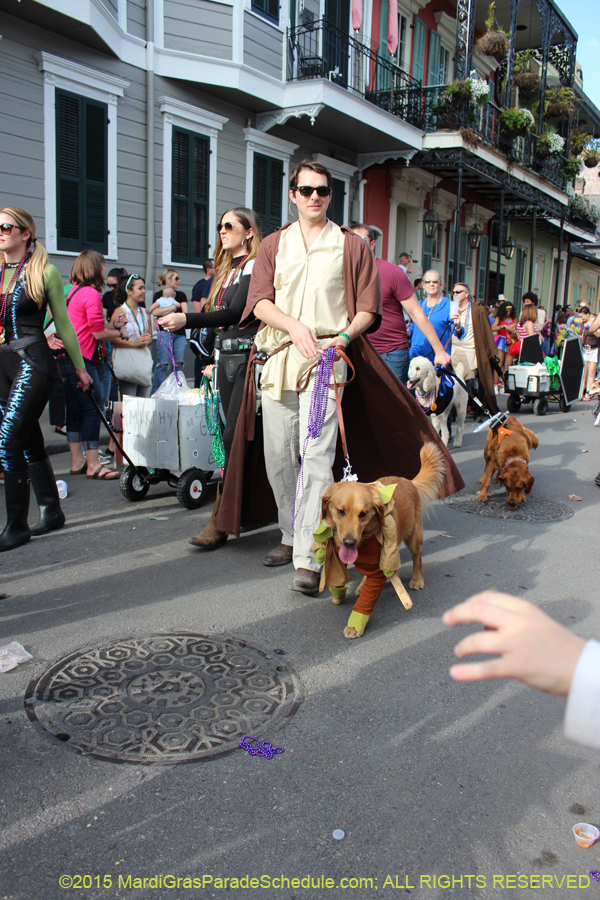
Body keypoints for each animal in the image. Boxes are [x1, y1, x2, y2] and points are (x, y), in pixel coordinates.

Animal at [314, 442, 446, 640]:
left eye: (363, 514)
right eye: (340, 511)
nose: (349, 542)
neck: (365, 539)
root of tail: (408, 481)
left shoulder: (378, 565)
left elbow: (366, 599)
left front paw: (355, 626)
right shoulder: (339, 555)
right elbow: (337, 577)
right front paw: (338, 594)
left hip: (414, 538)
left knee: (418, 559)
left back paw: (417, 580)